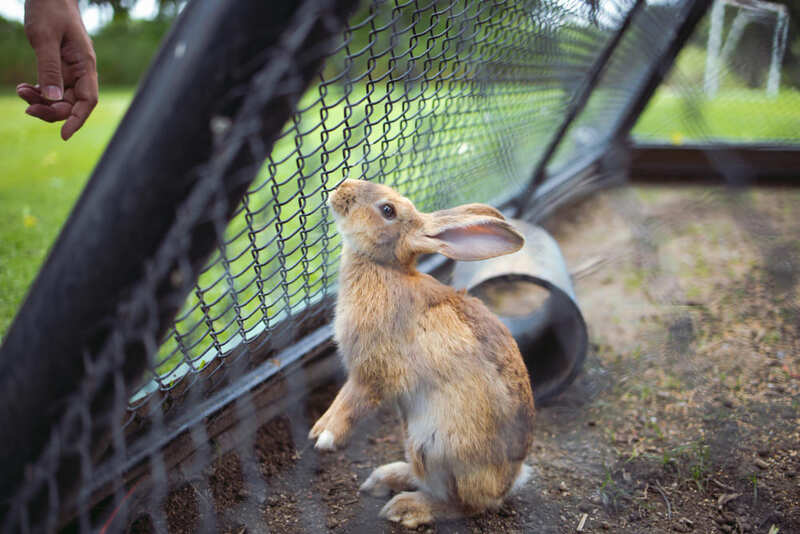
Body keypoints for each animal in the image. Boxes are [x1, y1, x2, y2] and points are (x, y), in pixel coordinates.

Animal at [309, 179, 535, 528]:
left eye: (388, 210)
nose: (341, 187)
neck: (384, 268)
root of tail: (507, 484)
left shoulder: (372, 375)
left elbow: (352, 404)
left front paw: (326, 440)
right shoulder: (358, 373)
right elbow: (341, 399)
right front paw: (317, 429)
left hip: (433, 446)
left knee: (464, 505)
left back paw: (406, 508)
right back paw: (384, 479)